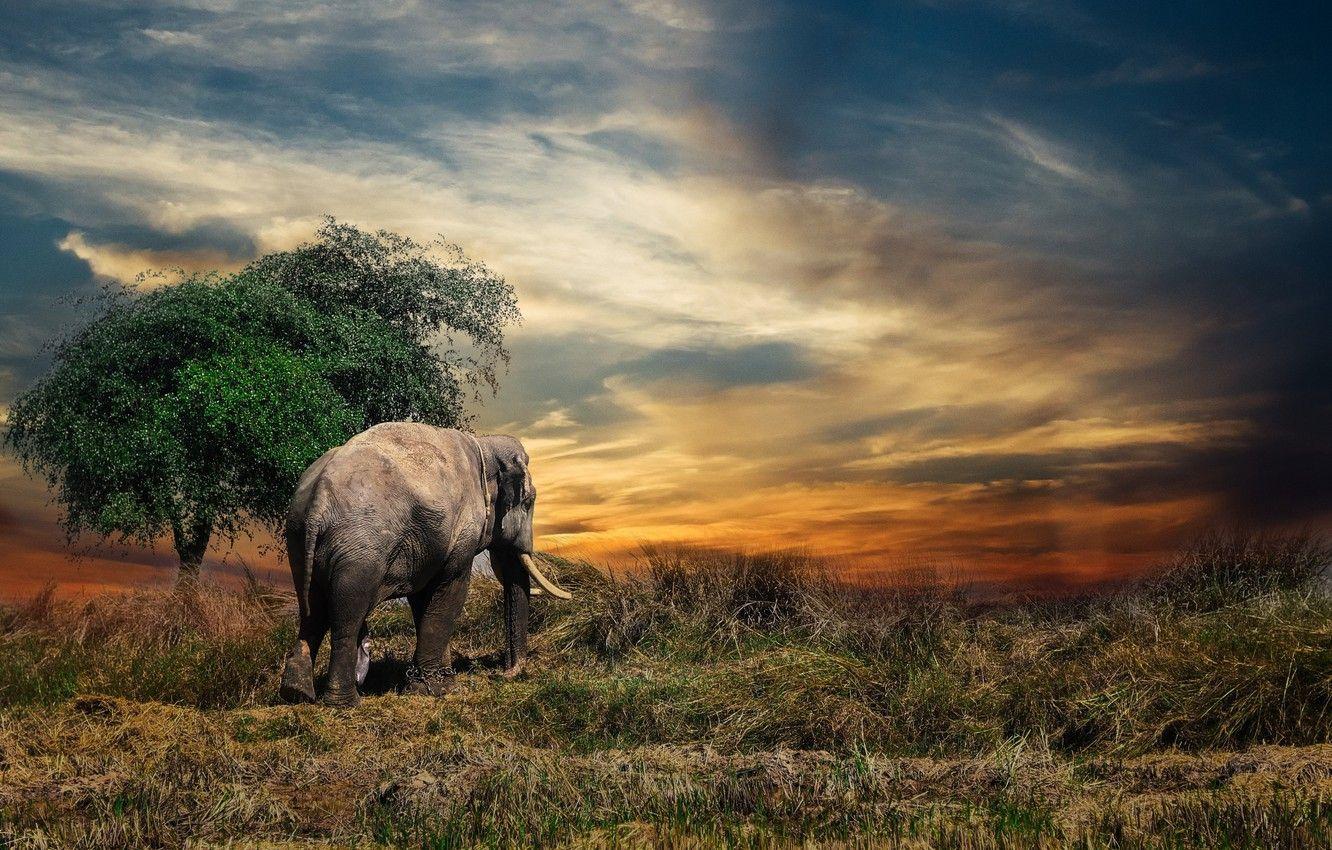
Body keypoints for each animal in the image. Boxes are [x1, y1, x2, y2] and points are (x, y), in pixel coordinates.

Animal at [278, 422, 572, 706]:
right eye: (529, 501)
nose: (503, 673)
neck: (484, 445)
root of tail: (319, 498)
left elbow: (424, 600)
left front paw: (442, 683)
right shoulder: (460, 533)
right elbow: (450, 592)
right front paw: (433, 690)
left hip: (299, 539)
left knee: (312, 610)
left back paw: (297, 694)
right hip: (359, 546)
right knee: (346, 614)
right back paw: (344, 702)